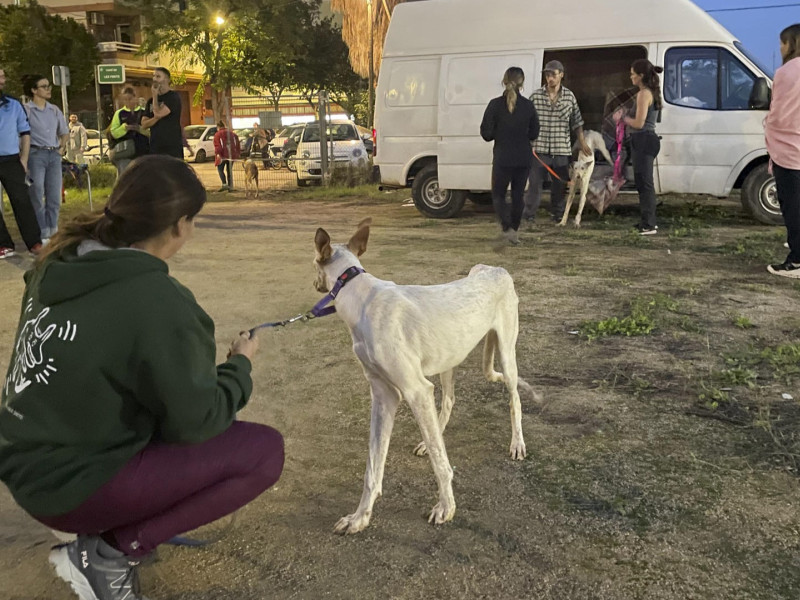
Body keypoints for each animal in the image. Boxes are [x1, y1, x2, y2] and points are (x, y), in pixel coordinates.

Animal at [312, 219, 536, 536]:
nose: (316, 285)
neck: (358, 293)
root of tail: (493, 268)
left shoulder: (415, 390)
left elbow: (440, 463)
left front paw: (446, 507)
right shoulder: (384, 395)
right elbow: (373, 467)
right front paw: (360, 517)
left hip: (506, 351)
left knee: (514, 399)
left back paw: (517, 444)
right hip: (448, 359)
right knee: (450, 401)